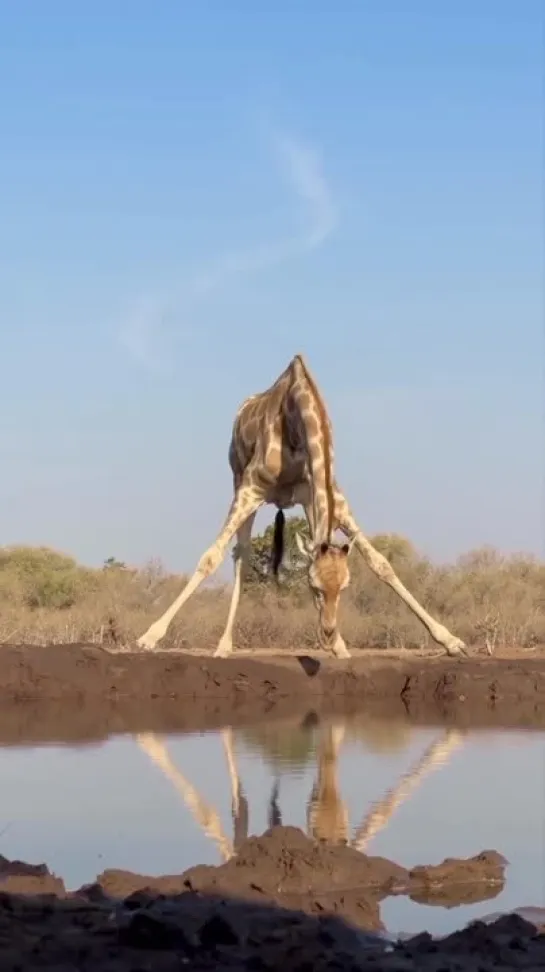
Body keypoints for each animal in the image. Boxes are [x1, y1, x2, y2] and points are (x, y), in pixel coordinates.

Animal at [136, 354, 464, 656]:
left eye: (344, 587)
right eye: (313, 586)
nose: (328, 632)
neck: (297, 417)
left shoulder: (328, 497)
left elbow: (381, 563)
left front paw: (451, 641)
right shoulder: (250, 488)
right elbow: (209, 558)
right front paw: (149, 637)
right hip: (238, 480)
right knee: (240, 555)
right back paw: (223, 646)